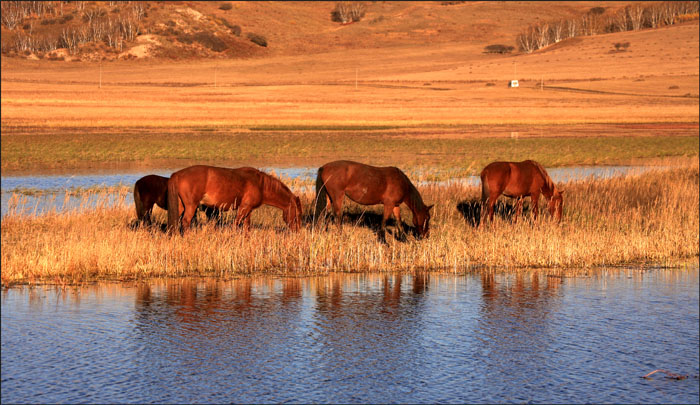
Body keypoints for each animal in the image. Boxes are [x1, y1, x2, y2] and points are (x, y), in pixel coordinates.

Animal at [170, 165, 304, 234]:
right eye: (298, 214)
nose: (297, 231)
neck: (260, 184)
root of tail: (177, 174)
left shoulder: (248, 210)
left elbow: (246, 227)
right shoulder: (243, 209)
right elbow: (236, 225)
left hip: (181, 206)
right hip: (191, 206)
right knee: (186, 222)